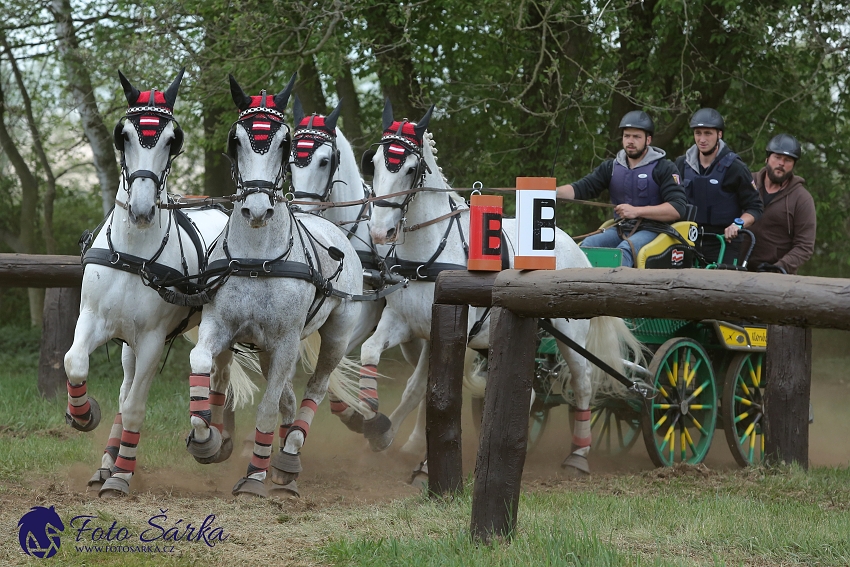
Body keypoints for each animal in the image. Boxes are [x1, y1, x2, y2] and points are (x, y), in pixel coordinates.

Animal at [64, 70, 247, 496]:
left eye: (171, 140)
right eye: (124, 135)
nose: (143, 209)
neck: (134, 253)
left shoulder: (151, 339)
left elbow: (135, 406)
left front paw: (122, 475)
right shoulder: (92, 319)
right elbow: (75, 363)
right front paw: (84, 414)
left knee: (219, 374)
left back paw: (214, 437)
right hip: (128, 340)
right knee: (125, 385)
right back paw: (106, 460)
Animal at [182, 74, 362, 496]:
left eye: (283, 142)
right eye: (236, 140)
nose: (258, 209)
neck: (257, 259)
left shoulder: (286, 341)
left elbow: (267, 406)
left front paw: (254, 476)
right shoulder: (221, 326)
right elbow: (201, 363)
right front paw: (206, 440)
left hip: (336, 334)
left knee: (315, 388)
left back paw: (288, 456)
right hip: (264, 348)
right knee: (288, 399)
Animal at [358, 98, 644, 474]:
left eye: (409, 168)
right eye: (375, 163)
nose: (380, 231)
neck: (431, 253)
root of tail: (575, 247)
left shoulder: (454, 333)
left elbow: (433, 389)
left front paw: (423, 456)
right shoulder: (404, 323)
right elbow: (381, 361)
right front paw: (378, 429)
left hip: (570, 334)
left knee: (582, 383)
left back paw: (578, 455)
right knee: (531, 392)